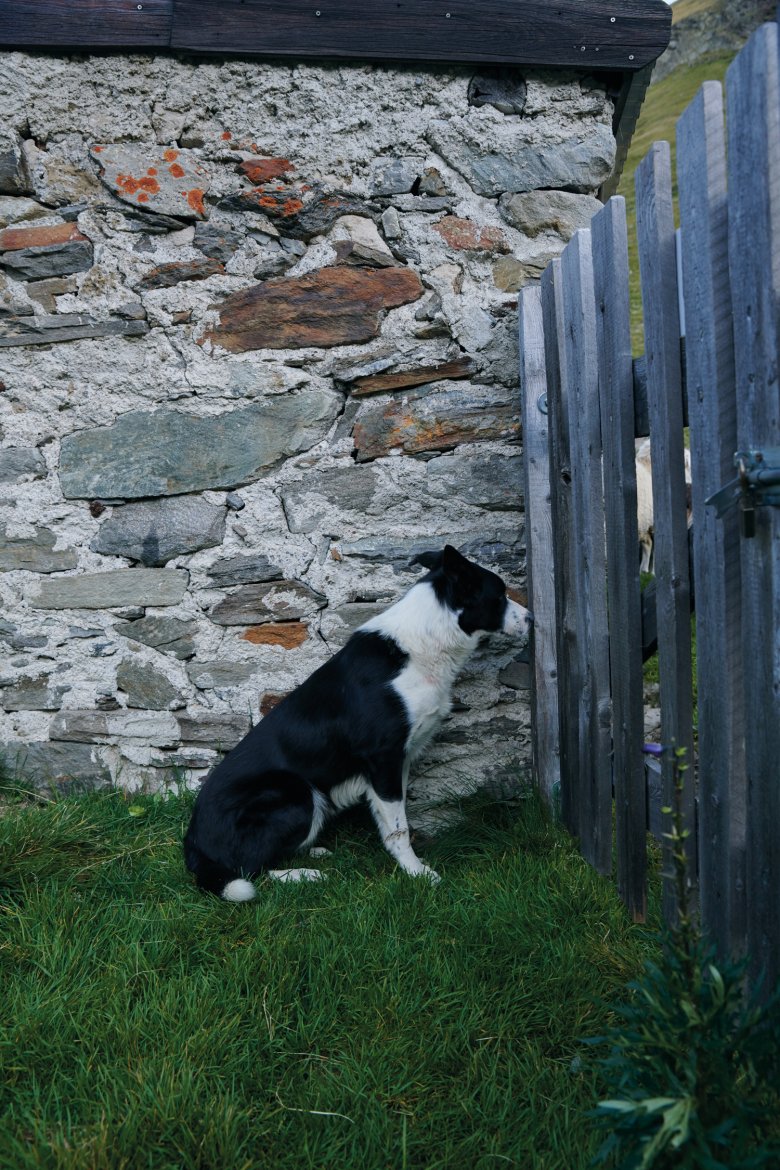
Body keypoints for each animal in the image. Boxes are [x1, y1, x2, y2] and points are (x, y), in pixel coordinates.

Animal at [185, 542, 533, 898]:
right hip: (298, 794)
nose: (532, 619)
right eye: (501, 595)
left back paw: (312, 852)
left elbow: (391, 821)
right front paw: (417, 873)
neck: (424, 642)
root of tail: (195, 848)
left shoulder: (396, 763)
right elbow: (399, 828)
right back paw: (305, 875)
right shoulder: (383, 757)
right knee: (249, 871)